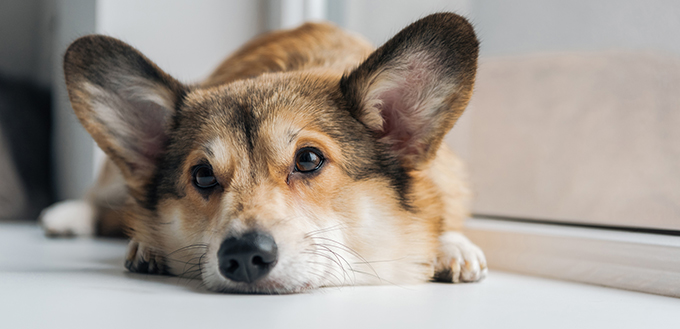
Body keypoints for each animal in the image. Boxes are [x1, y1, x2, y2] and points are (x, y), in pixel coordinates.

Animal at [39, 12, 486, 292]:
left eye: (308, 159)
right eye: (203, 174)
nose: (243, 256)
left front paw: (452, 246)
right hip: (115, 179)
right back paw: (73, 218)